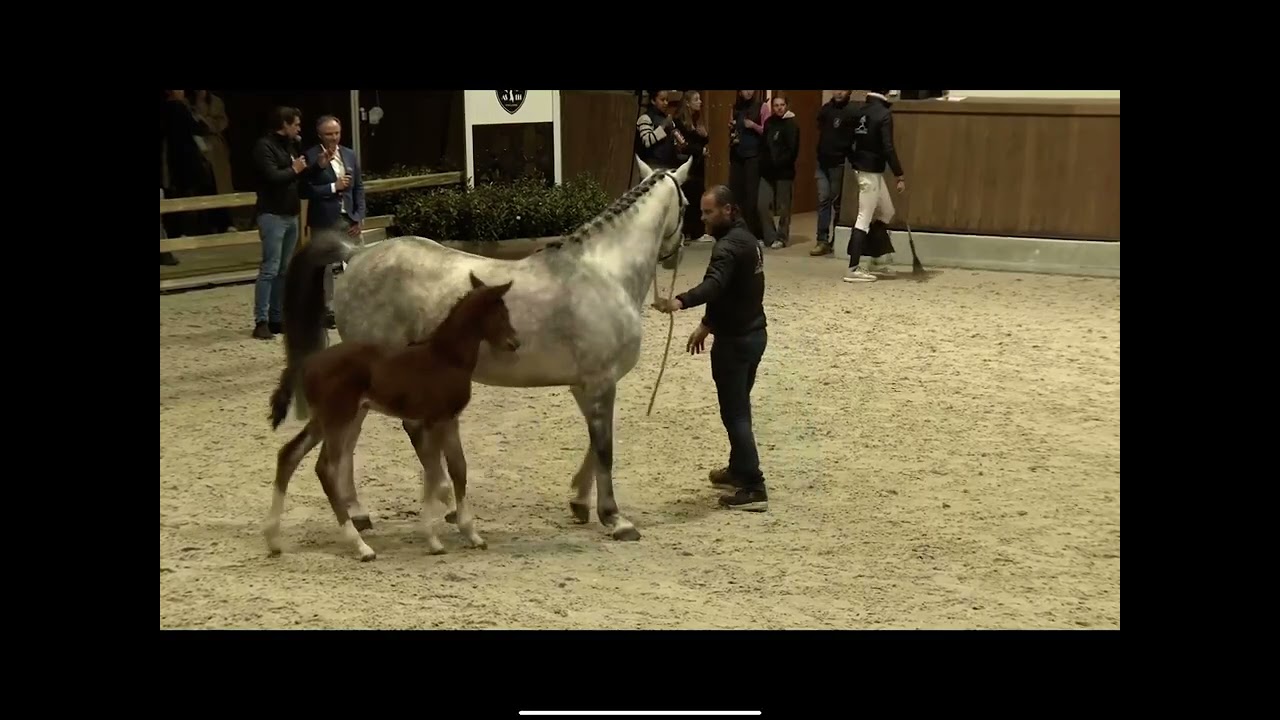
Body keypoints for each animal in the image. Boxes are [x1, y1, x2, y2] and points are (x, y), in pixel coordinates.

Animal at [263, 272, 520, 561]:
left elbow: (457, 469)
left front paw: (472, 535)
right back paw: (361, 546)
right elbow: (434, 475)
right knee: (326, 468)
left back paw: (273, 538)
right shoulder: (434, 420)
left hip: (323, 420)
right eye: (501, 313)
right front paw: (433, 540)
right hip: (339, 419)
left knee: (289, 454)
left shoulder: (449, 419)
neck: (446, 358)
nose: (515, 343)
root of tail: (307, 364)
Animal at [280, 155, 692, 545]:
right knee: (354, 440)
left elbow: (596, 442)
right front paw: (615, 518)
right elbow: (605, 446)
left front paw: (579, 502)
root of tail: (358, 253)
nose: (677, 252)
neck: (604, 273)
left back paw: (377, 512)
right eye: (687, 202)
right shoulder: (601, 382)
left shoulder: (586, 385)